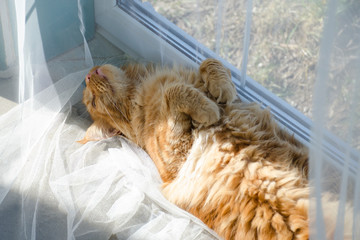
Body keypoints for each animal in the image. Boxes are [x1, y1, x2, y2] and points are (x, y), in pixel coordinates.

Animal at [79, 59, 310, 239]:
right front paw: (208, 109)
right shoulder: (174, 159)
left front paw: (223, 88)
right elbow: (173, 92)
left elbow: (209, 63)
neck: (142, 87)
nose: (88, 75)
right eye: (94, 102)